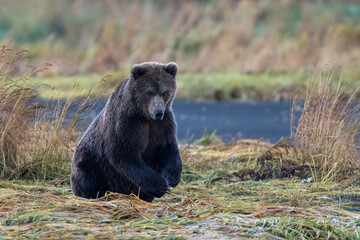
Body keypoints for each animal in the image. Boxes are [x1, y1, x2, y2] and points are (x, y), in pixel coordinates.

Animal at [70, 62, 183, 202]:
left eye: (164, 92)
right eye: (149, 92)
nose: (158, 112)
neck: (144, 116)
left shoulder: (162, 124)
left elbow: (167, 147)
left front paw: (172, 178)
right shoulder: (126, 123)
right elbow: (123, 153)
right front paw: (161, 185)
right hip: (91, 158)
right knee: (87, 173)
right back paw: (92, 194)